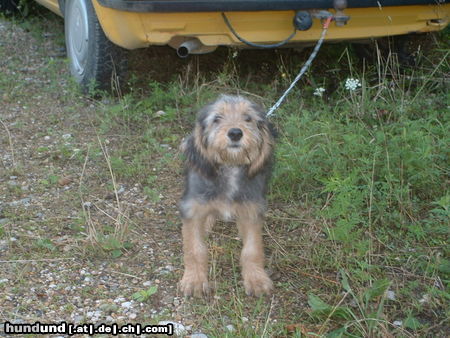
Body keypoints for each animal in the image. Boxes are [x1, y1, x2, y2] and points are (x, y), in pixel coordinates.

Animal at [178, 94, 274, 296]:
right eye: (217, 119)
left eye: (248, 118)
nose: (236, 133)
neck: (230, 167)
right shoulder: (192, 209)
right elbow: (195, 249)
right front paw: (194, 280)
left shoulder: (251, 210)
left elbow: (252, 249)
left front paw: (256, 279)